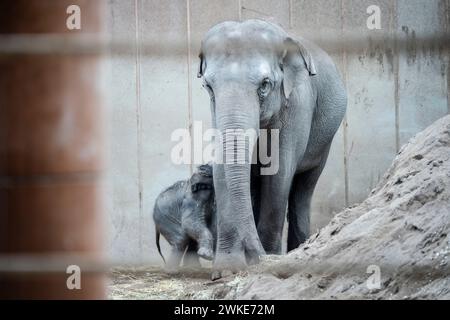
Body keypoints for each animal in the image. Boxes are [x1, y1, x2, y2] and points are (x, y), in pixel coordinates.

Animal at [197, 18, 348, 272]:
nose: (258, 256)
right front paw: (226, 268)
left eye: (265, 84)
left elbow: (278, 173)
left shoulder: (297, 105)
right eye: (208, 86)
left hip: (324, 143)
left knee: (303, 189)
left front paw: (267, 259)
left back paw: (299, 248)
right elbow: (221, 171)